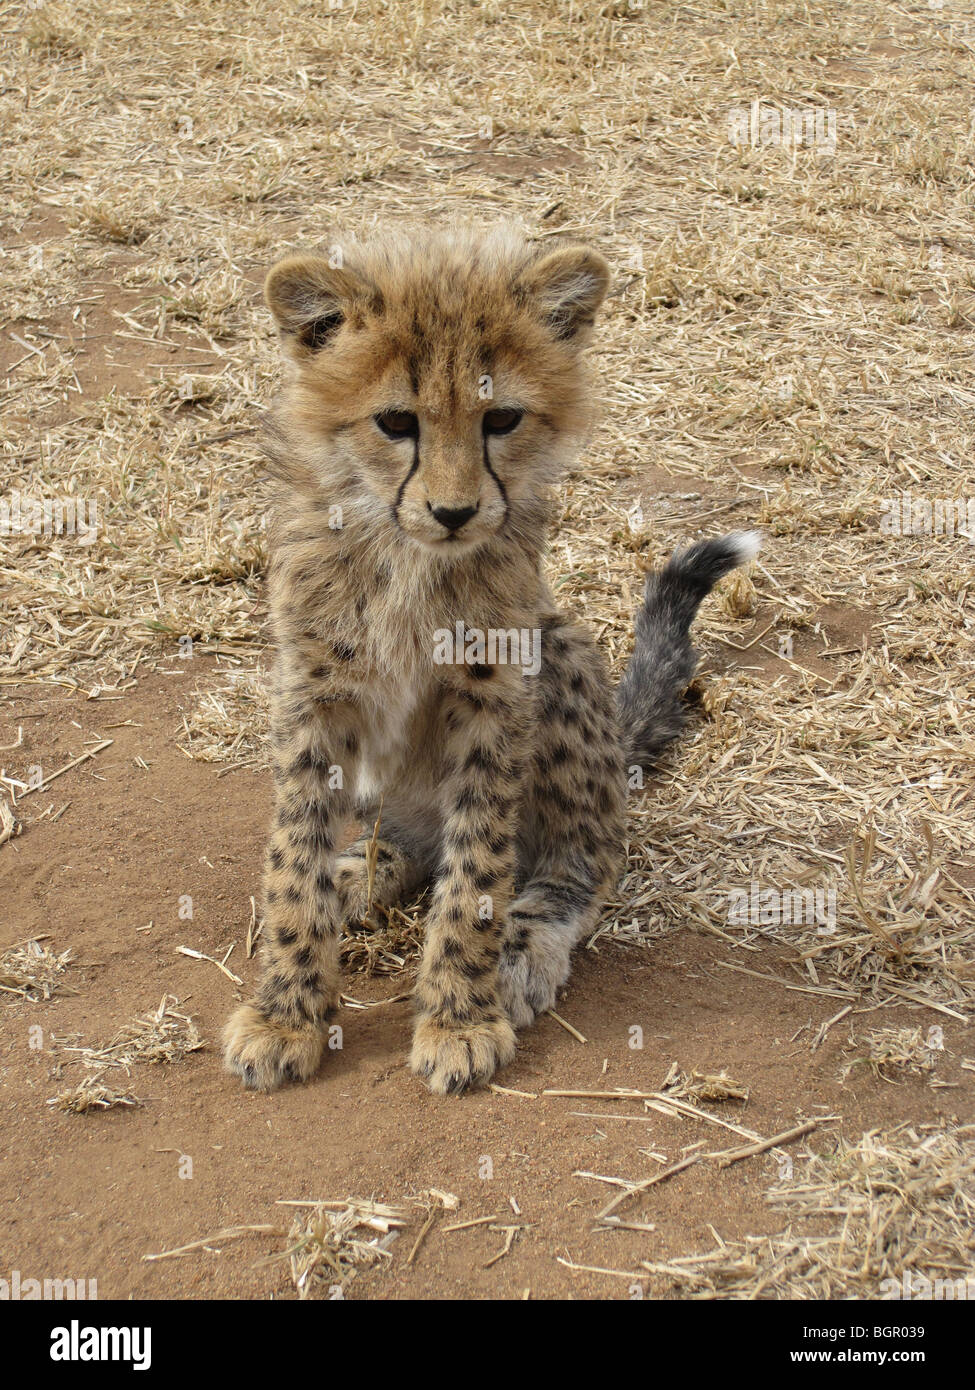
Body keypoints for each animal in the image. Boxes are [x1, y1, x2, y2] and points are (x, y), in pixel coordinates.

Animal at [223, 227, 756, 1095]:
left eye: (500, 418)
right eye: (395, 422)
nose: (453, 511)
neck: (405, 552)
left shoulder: (495, 694)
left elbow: (476, 871)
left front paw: (457, 1019)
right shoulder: (316, 693)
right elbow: (292, 858)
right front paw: (284, 1014)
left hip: (562, 655)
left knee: (585, 858)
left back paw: (521, 944)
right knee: (409, 841)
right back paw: (361, 871)